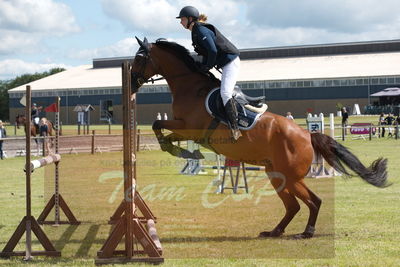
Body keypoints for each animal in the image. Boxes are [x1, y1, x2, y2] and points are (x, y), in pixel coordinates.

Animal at [130, 37, 388, 239]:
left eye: (139, 59)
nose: (131, 83)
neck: (190, 87)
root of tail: (307, 134)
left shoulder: (189, 128)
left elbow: (157, 125)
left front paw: (181, 151)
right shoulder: (183, 129)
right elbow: (162, 131)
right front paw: (183, 151)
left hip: (290, 176)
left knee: (313, 201)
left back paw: (306, 232)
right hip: (276, 174)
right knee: (293, 206)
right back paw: (275, 231)